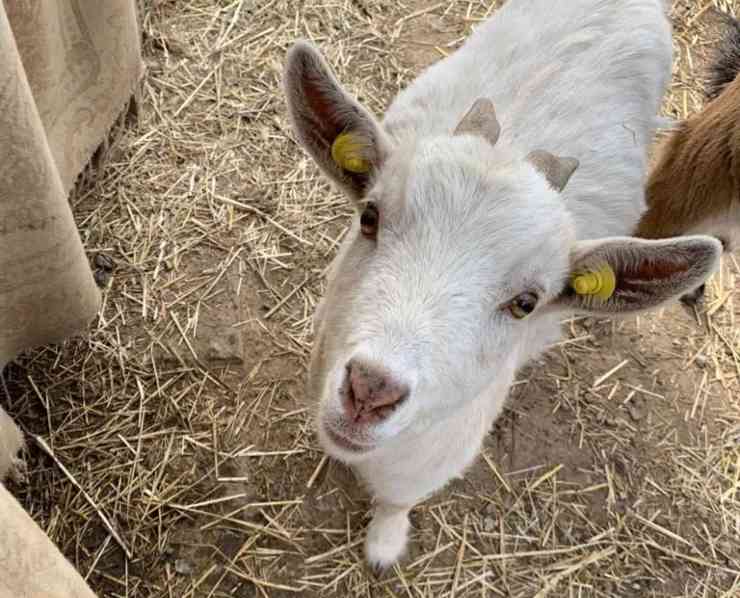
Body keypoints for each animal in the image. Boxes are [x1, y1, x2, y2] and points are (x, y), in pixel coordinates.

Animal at [284, 0, 722, 569]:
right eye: (370, 218)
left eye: (526, 302)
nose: (370, 390)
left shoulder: (437, 453)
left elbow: (398, 500)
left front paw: (385, 545)